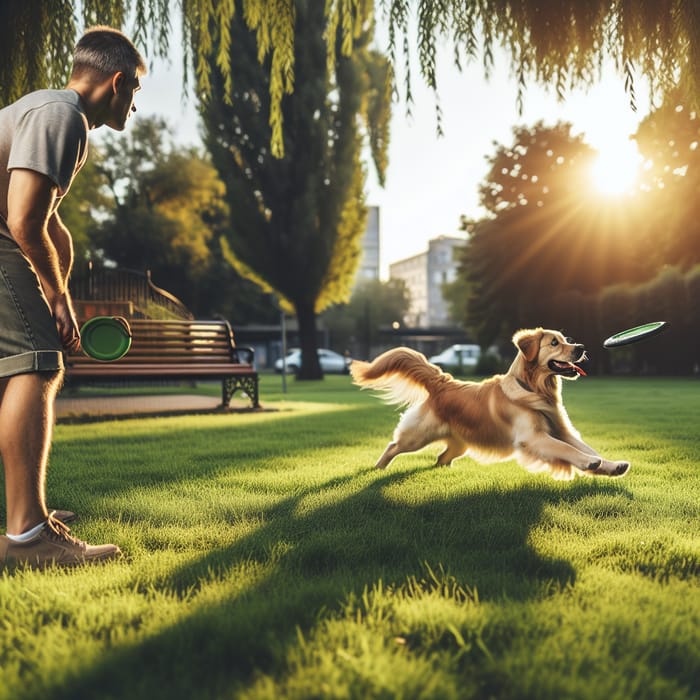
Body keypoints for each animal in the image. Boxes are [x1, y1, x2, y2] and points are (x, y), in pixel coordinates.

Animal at [350, 328, 628, 482]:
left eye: (566, 339)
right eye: (554, 343)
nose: (580, 347)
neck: (535, 389)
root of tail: (443, 382)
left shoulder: (561, 431)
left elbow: (586, 447)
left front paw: (612, 465)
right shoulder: (534, 438)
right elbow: (569, 451)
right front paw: (589, 463)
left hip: (459, 444)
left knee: (441, 458)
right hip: (418, 435)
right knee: (393, 446)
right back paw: (377, 470)